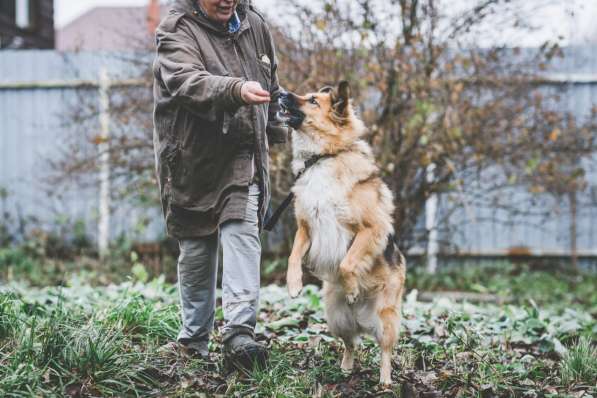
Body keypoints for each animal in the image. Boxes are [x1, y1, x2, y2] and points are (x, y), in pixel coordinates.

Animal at [278, 81, 408, 386]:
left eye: (313, 101)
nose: (280, 92)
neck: (323, 157)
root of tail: (361, 317)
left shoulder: (371, 229)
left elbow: (348, 263)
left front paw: (352, 288)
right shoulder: (306, 227)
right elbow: (292, 256)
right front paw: (293, 285)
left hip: (385, 318)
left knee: (385, 350)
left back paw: (385, 381)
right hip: (336, 317)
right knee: (350, 343)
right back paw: (346, 368)